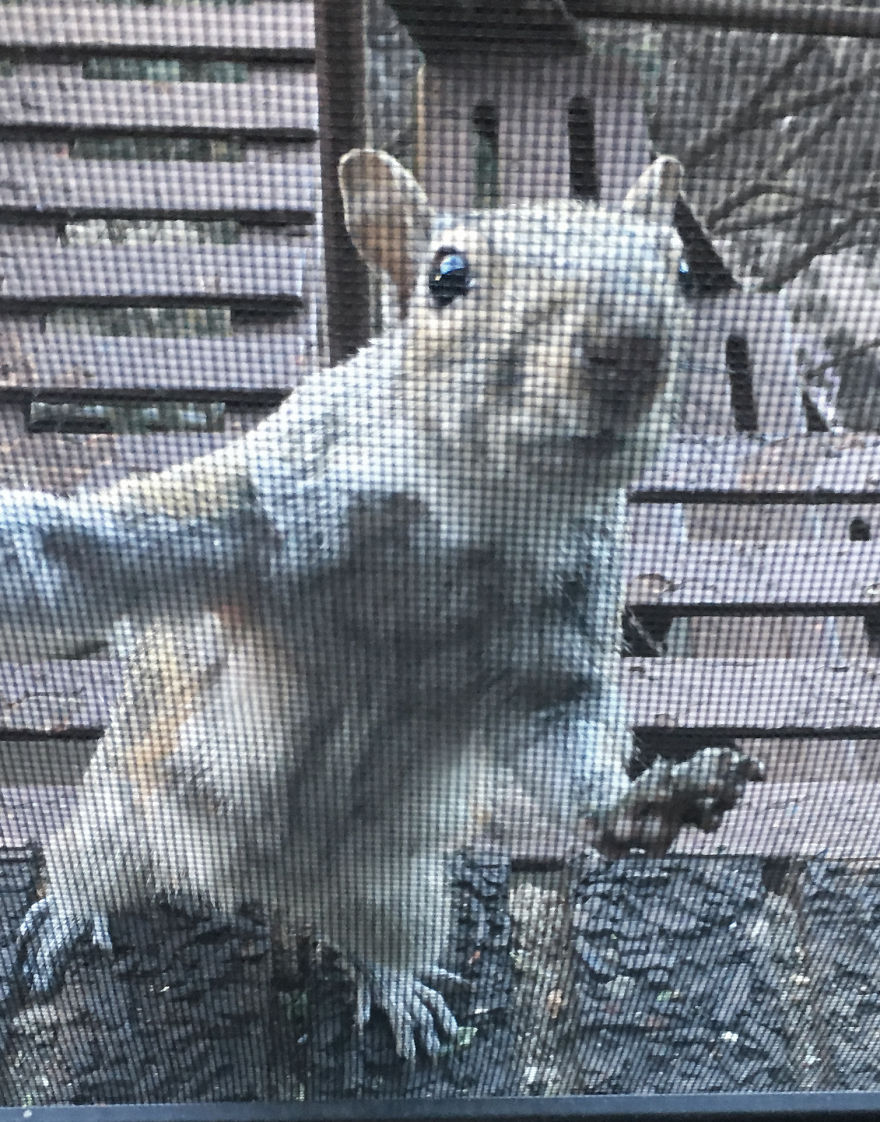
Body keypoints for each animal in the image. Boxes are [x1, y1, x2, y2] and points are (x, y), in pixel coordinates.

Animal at [7, 149, 762, 1060]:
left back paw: (400, 988)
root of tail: (270, 882)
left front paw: (643, 804)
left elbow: (558, 723)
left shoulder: (556, 633)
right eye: (448, 275)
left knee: (375, 938)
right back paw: (65, 913)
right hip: (128, 809)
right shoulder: (272, 503)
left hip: (396, 889)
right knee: (89, 862)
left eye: (678, 270)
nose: (631, 348)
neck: (472, 526)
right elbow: (92, 554)